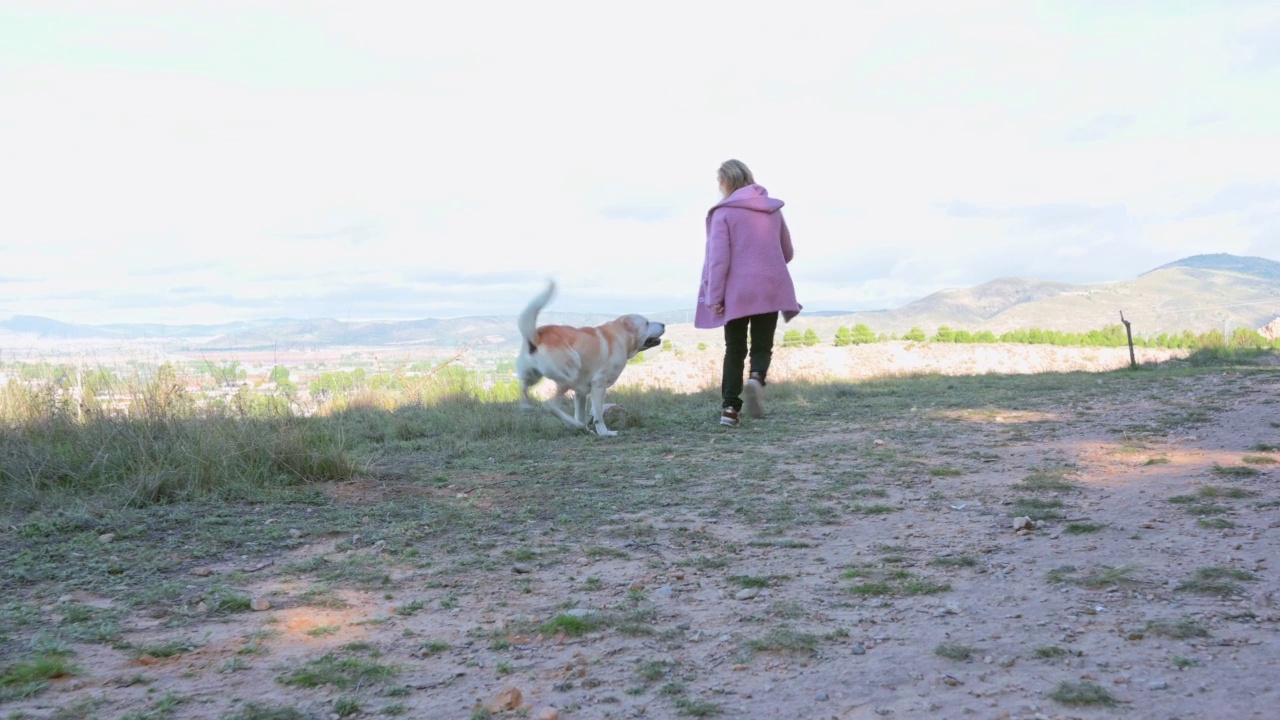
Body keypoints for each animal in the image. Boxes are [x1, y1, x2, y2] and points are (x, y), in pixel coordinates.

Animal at [514, 280, 665, 435]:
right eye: (646, 323)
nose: (663, 324)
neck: (621, 335)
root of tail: (537, 335)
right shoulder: (599, 384)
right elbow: (598, 414)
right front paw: (604, 432)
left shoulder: (580, 393)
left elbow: (581, 414)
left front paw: (585, 428)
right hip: (570, 373)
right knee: (551, 406)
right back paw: (575, 424)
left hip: (533, 376)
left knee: (524, 389)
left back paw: (529, 407)